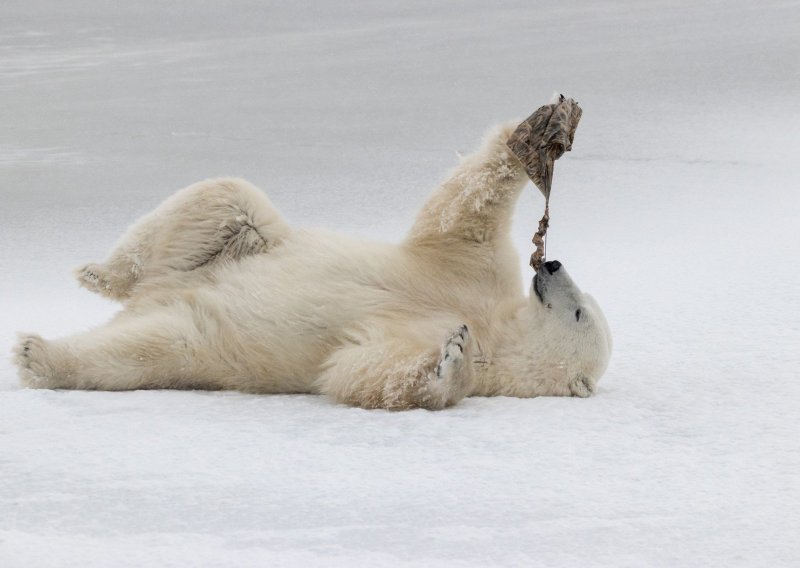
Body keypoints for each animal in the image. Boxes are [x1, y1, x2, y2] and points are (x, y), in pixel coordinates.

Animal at [14, 122, 612, 410]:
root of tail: (157, 295)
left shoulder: (476, 354)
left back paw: (38, 355)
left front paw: (450, 359)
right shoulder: (474, 273)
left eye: (580, 313)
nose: (552, 264)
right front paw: (536, 132)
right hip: (234, 248)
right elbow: (458, 224)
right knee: (222, 198)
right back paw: (101, 274)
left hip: (201, 340)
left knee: (136, 351)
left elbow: (360, 371)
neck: (495, 324)